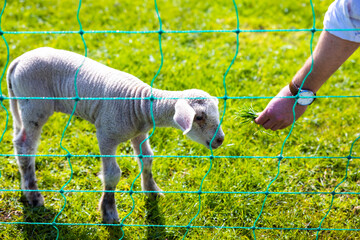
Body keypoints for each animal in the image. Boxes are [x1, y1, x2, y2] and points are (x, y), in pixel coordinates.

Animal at [6, 47, 225, 224]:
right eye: (199, 117)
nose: (220, 140)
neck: (140, 104)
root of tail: (18, 60)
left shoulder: (139, 132)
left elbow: (147, 159)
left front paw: (152, 191)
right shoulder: (106, 134)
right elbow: (112, 174)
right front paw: (109, 212)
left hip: (22, 105)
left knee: (18, 141)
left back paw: (25, 188)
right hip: (35, 105)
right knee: (26, 147)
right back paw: (34, 197)